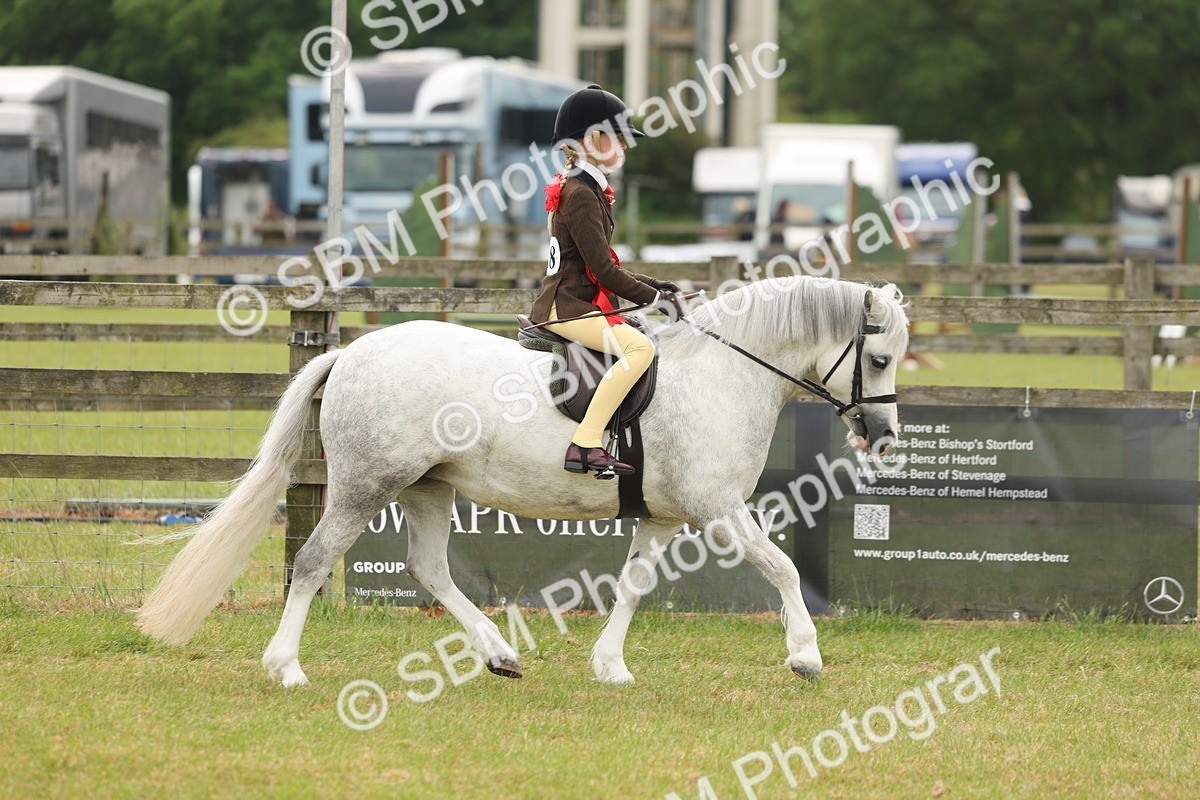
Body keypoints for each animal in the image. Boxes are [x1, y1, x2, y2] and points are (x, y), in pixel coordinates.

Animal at [136, 276, 909, 687]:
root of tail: (350, 352)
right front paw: (805, 655)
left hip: (428, 487)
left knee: (428, 567)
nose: (883, 435)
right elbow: (781, 568)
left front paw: (610, 666)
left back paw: (499, 653)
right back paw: (287, 666)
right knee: (314, 560)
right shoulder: (717, 508)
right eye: (877, 357)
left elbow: (633, 585)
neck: (725, 373)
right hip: (365, 486)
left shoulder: (662, 517)